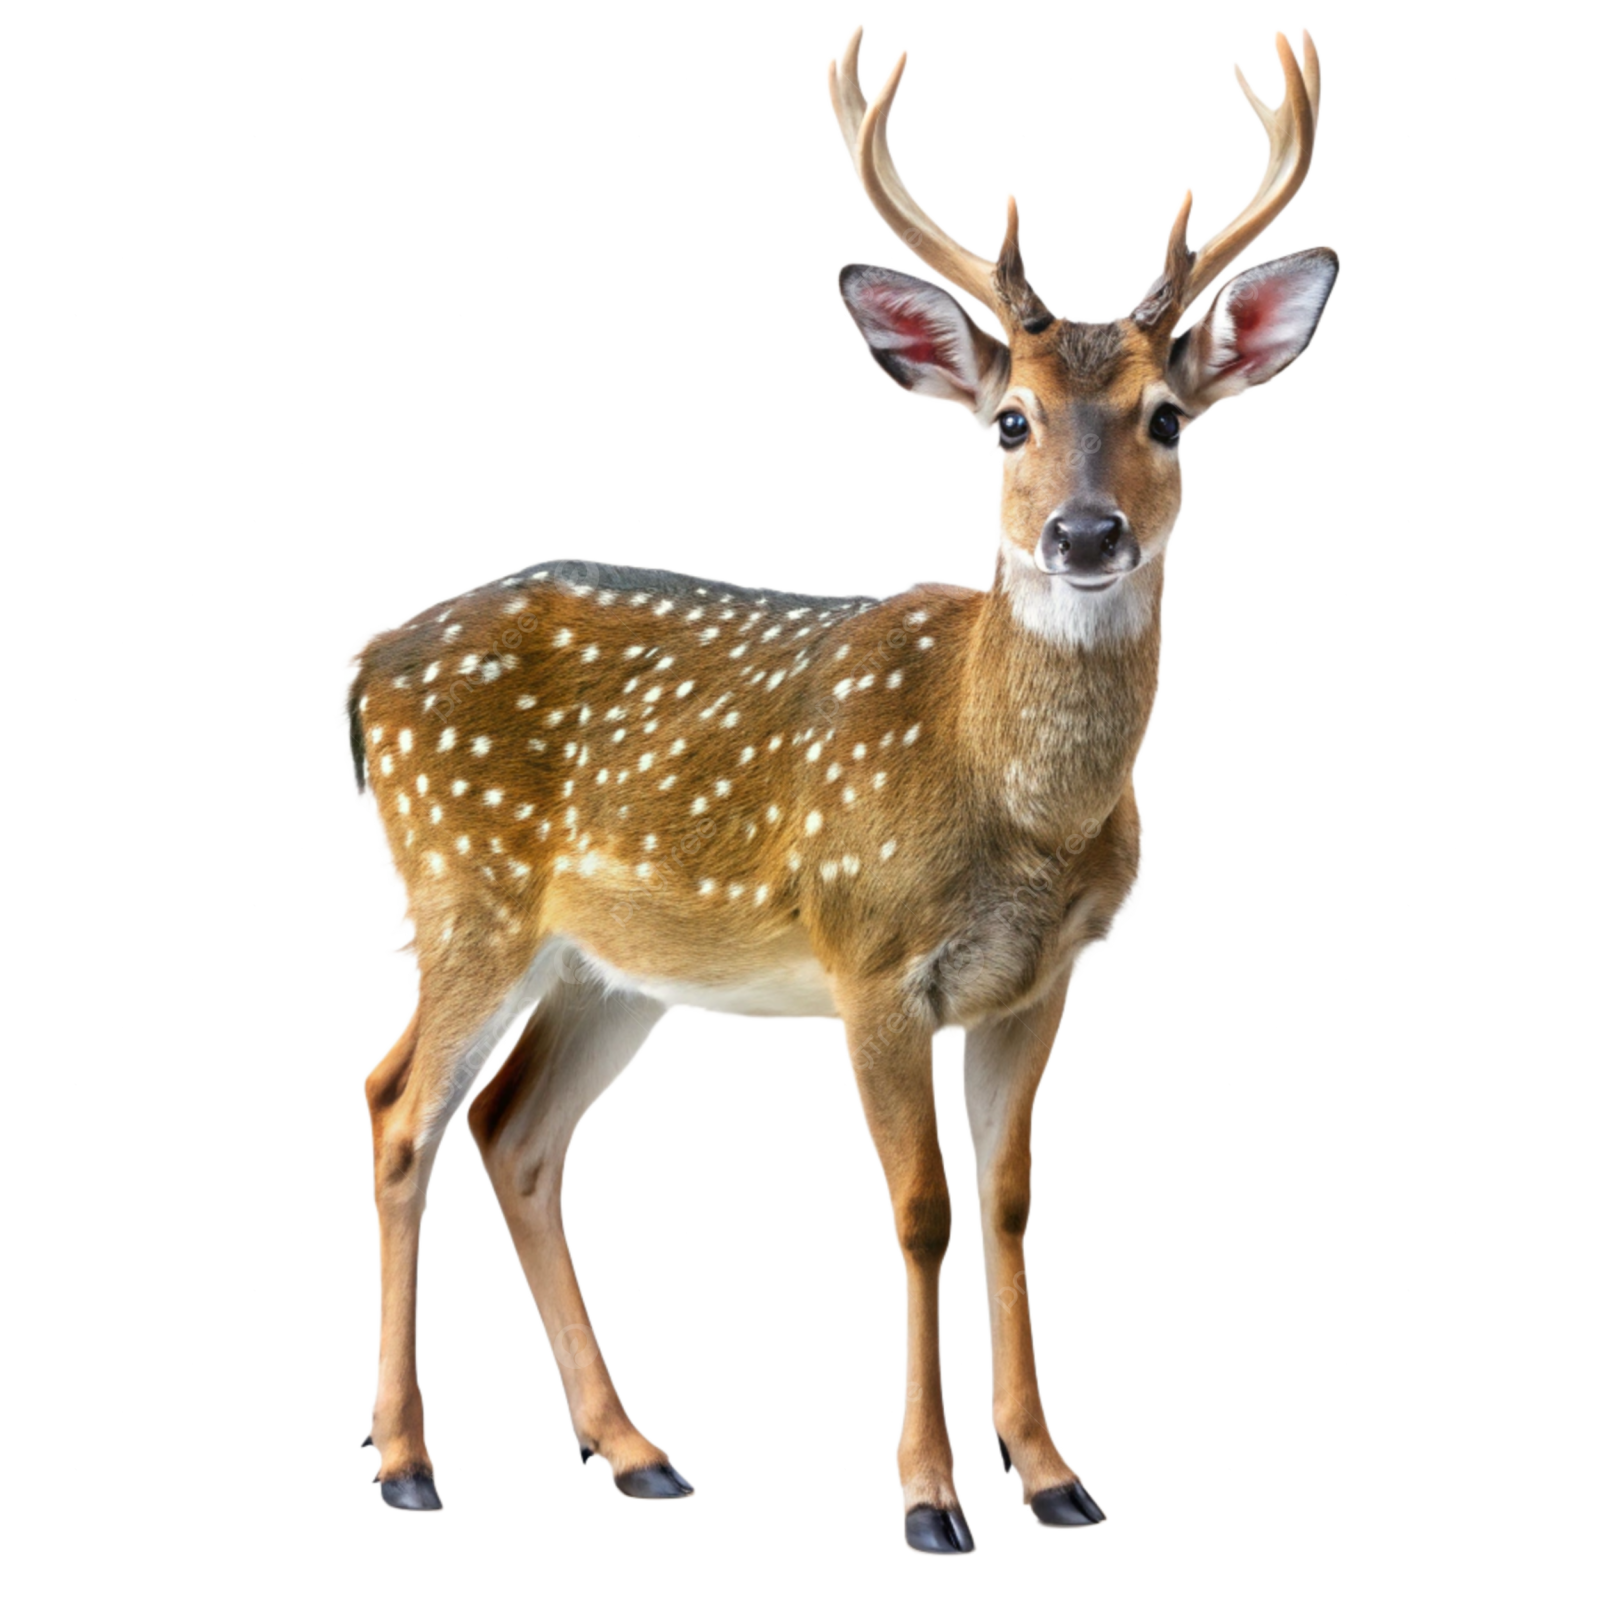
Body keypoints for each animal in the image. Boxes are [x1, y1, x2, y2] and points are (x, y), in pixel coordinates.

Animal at [337, 19, 1336, 1556]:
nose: (1085, 533)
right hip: (465, 886)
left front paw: (1053, 1476)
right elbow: (921, 1208)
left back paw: (631, 1450)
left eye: (1170, 418)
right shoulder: (869, 954)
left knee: (515, 1131)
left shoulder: (1043, 979)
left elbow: (1009, 1199)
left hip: (611, 964)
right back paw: (403, 1461)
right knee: (401, 1105)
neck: (1016, 811)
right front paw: (929, 1496)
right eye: (1006, 424)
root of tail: (364, 664)